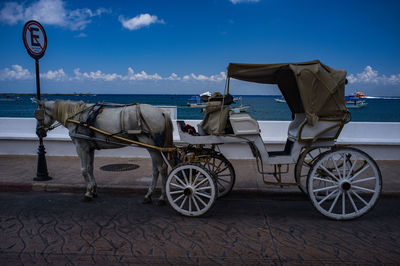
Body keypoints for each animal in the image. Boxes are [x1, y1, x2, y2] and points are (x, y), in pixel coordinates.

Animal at [32, 98, 173, 205]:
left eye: (38, 115)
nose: (39, 132)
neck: (77, 117)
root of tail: (161, 112)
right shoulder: (90, 148)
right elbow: (90, 168)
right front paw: (94, 190)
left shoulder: (81, 146)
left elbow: (83, 170)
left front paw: (88, 192)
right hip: (153, 146)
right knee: (156, 169)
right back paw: (149, 195)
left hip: (151, 145)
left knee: (161, 168)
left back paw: (161, 197)